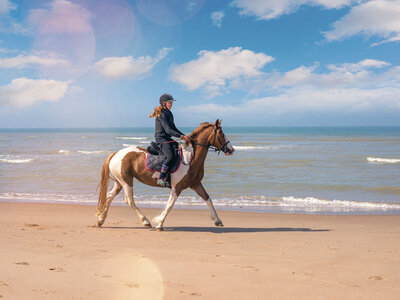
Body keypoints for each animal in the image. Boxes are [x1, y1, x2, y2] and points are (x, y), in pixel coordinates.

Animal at [96, 119, 234, 230]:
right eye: (222, 134)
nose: (231, 150)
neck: (190, 158)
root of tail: (116, 153)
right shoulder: (177, 187)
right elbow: (170, 205)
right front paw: (159, 223)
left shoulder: (195, 184)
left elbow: (207, 198)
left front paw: (218, 220)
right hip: (126, 181)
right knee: (129, 200)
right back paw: (145, 221)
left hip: (119, 182)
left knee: (109, 196)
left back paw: (100, 220)